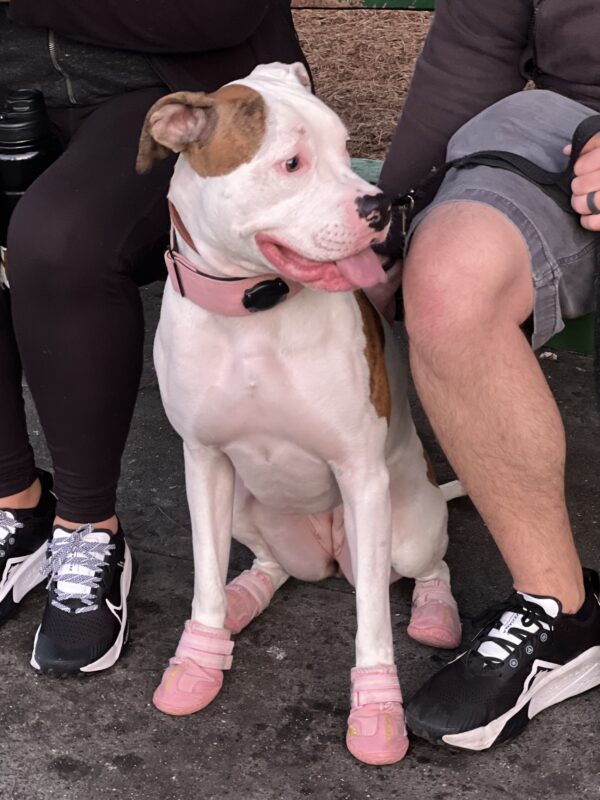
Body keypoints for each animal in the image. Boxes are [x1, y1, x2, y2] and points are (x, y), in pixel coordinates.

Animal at [138, 64, 462, 768]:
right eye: (292, 163)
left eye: (346, 148)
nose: (383, 204)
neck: (252, 312)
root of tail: (329, 554)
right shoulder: (203, 461)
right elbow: (204, 575)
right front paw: (199, 658)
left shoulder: (360, 473)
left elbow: (373, 620)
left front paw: (377, 710)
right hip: (244, 507)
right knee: (272, 565)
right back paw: (244, 598)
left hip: (405, 524)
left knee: (425, 567)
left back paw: (435, 611)